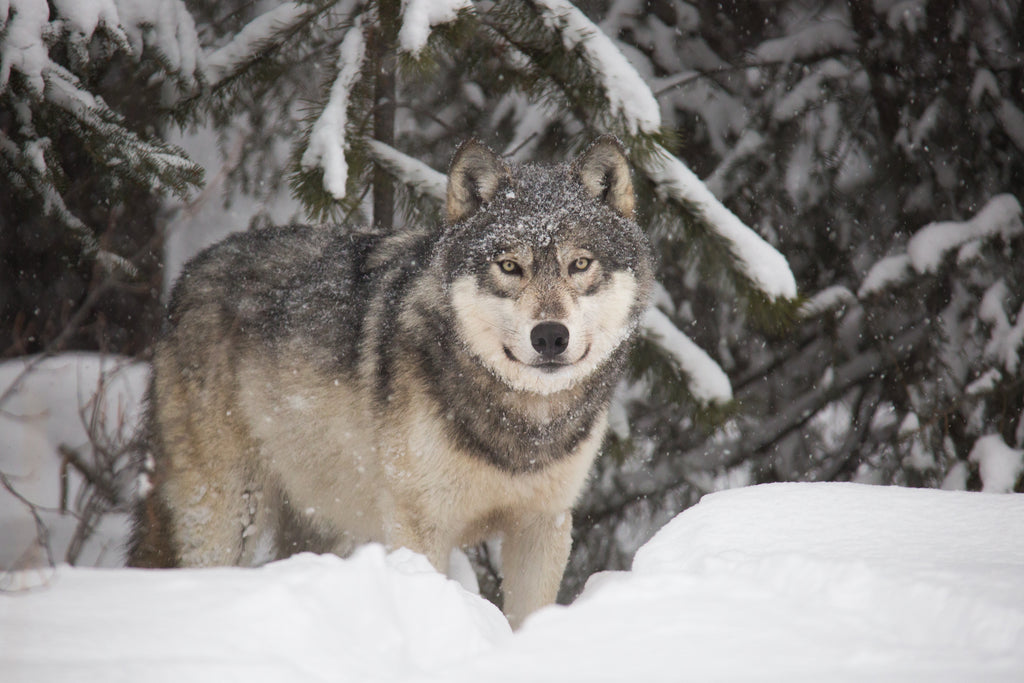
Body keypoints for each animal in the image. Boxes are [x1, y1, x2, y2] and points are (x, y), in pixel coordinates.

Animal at [128, 136, 653, 627]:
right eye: (509, 266)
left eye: (579, 264)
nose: (549, 336)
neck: (520, 423)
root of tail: (188, 277)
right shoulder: (420, 527)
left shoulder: (543, 525)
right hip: (228, 514)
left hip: (324, 520)